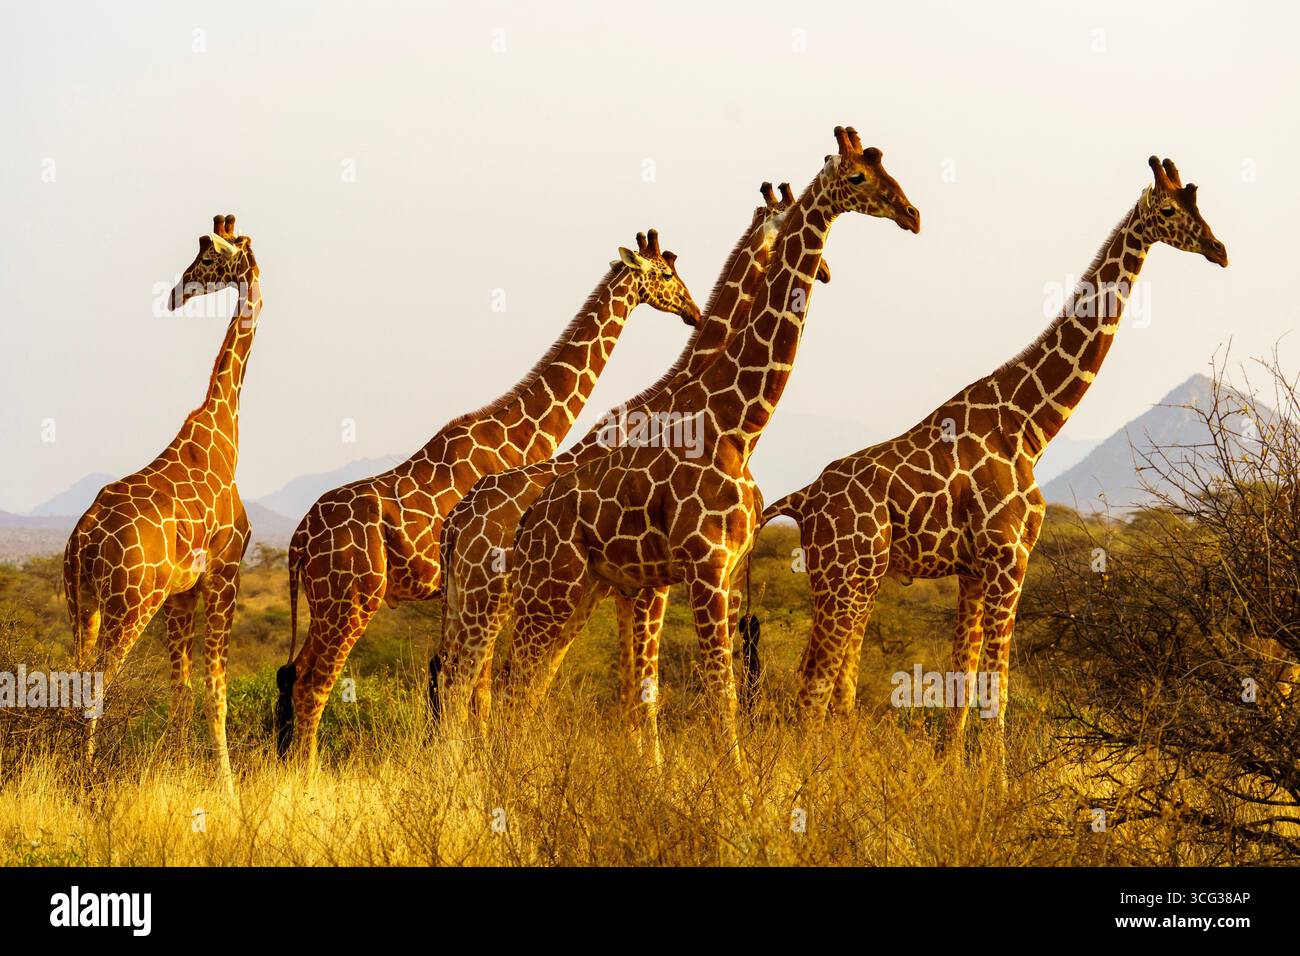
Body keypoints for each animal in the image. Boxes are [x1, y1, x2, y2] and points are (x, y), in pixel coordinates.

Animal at [63, 214, 263, 792]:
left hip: (81, 602)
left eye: (209, 259)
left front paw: (176, 777)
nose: (177, 293)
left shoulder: (182, 592)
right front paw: (228, 794)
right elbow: (216, 695)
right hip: (131, 603)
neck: (225, 428)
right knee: (94, 690)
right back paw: (87, 784)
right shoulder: (225, 571)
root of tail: (83, 540)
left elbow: (183, 691)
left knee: (73, 679)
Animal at [277, 230, 701, 767]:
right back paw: (305, 773)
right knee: (312, 681)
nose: (694, 311)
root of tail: (297, 542)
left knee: (293, 671)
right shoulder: (493, 582)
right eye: (666, 274)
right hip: (352, 597)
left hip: (326, 601)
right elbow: (478, 687)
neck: (520, 432)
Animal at [435, 183, 828, 741]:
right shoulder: (650, 584)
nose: (692, 311)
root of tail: (456, 523)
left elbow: (629, 691)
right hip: (490, 598)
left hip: (485, 600)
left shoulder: (625, 586)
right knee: (468, 683)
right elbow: (640, 694)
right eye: (666, 274)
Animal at [497, 127, 921, 766]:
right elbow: (715, 690)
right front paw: (733, 786)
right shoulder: (702, 566)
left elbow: (697, 688)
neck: (738, 427)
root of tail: (528, 522)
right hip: (553, 586)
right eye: (857, 177)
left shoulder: (715, 570)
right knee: (513, 681)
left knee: (526, 683)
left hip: (581, 589)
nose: (913, 215)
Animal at [753, 156, 1228, 761]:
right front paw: (991, 780)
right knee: (814, 680)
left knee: (830, 678)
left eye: (1197, 201)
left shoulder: (974, 570)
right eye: (1168, 210)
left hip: (844, 577)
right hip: (847, 575)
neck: (1029, 425)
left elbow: (962, 687)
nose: (1218, 248)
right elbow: (995, 690)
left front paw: (954, 772)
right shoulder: (1009, 558)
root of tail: (803, 498)